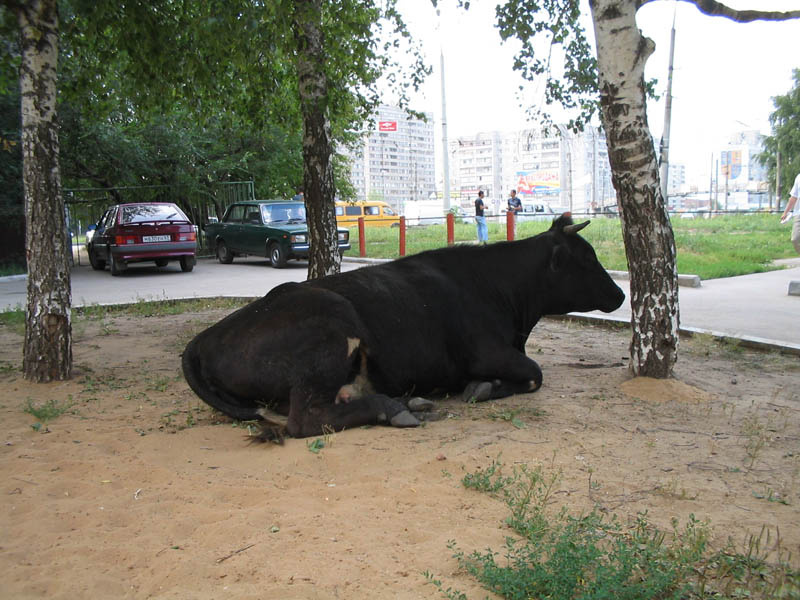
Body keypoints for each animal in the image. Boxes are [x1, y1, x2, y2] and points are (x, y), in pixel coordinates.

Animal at [182, 214, 625, 441]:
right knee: (304, 420)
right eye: (587, 258)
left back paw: (410, 401)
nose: (621, 294)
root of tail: (202, 340)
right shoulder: (486, 351)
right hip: (331, 326)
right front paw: (483, 388)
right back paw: (394, 409)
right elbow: (535, 373)